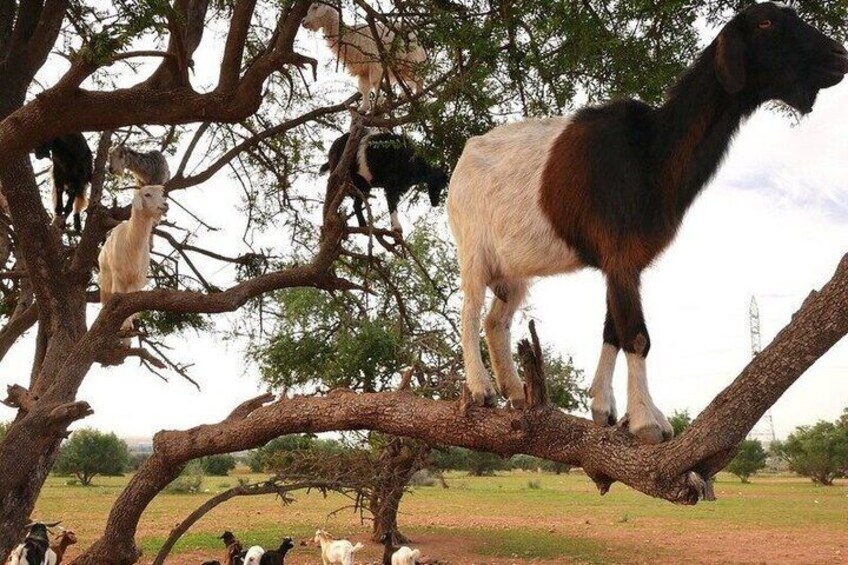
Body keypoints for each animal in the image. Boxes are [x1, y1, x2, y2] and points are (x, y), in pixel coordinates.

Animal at [98, 186, 169, 345]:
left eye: (161, 194)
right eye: (147, 194)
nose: (165, 205)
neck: (131, 241)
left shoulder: (137, 279)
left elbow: (129, 302)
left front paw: (127, 326)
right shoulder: (118, 277)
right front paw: (124, 326)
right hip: (105, 281)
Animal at [320, 131, 448, 233]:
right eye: (440, 184)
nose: (435, 202)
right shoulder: (391, 186)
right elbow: (392, 205)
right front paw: (397, 228)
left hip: (364, 185)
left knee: (356, 205)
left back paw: (363, 226)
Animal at [446, 2, 848, 444]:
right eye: (766, 22)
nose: (839, 55)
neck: (651, 153)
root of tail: (462, 160)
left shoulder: (625, 261)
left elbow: (613, 330)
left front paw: (606, 407)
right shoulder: (619, 252)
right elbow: (637, 336)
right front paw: (645, 421)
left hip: (514, 269)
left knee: (496, 319)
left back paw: (517, 392)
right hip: (472, 245)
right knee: (469, 310)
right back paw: (481, 388)